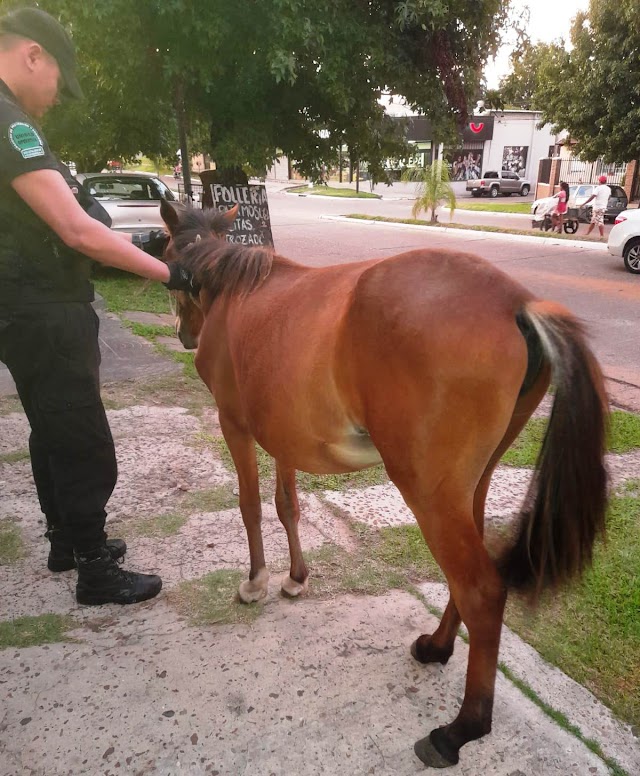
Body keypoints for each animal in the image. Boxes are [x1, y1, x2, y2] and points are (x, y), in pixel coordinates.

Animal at [158, 200, 608, 768]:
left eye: (168, 258)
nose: (186, 337)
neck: (238, 292)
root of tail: (518, 304)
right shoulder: (282, 437)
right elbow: (287, 506)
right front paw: (296, 577)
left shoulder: (234, 425)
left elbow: (250, 506)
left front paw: (257, 581)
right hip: (470, 487)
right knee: (470, 577)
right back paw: (437, 647)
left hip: (429, 494)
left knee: (482, 590)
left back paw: (460, 729)